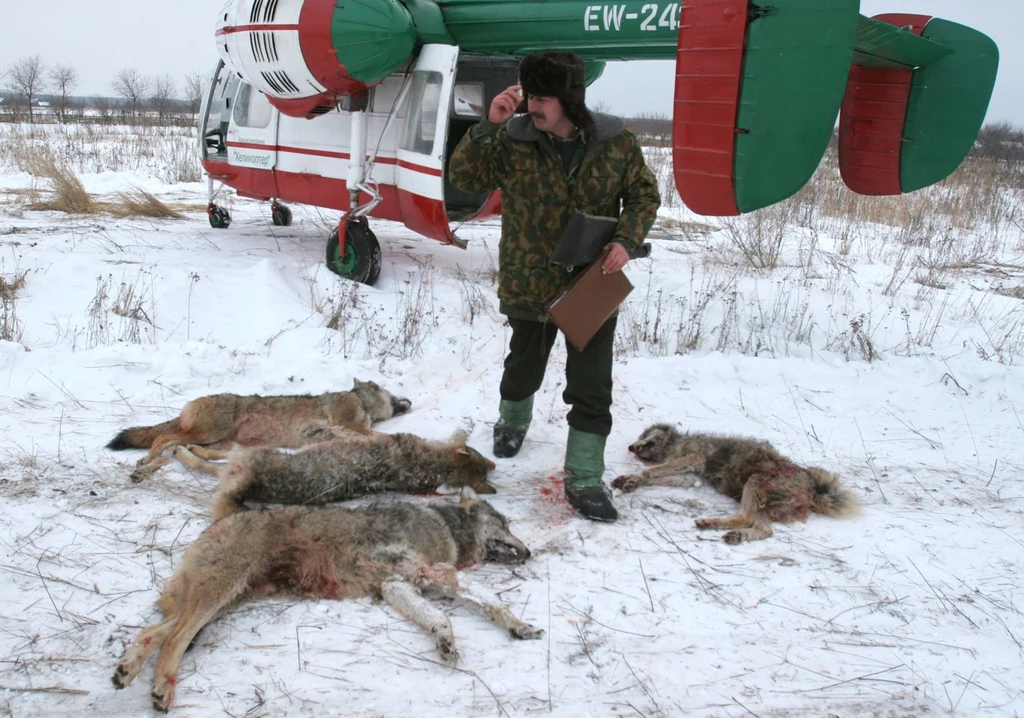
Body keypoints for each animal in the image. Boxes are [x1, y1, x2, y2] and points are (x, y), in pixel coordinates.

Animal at [103, 374, 407, 481]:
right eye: (390, 392)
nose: (408, 401)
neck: (360, 400)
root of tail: (189, 404)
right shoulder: (346, 421)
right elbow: (374, 433)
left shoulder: (321, 435)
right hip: (207, 433)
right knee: (163, 439)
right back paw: (146, 462)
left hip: (215, 441)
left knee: (180, 451)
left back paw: (144, 469)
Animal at [110, 493, 544, 712]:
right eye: (506, 525)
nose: (530, 552)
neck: (448, 529)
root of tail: (217, 523)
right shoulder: (428, 571)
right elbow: (485, 603)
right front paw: (516, 625)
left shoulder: (397, 585)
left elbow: (438, 618)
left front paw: (448, 641)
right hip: (218, 595)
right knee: (173, 637)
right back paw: (161, 690)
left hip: (224, 601)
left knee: (154, 630)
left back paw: (127, 670)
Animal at [175, 428, 499, 518]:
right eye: (481, 461)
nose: (493, 464)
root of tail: (255, 486)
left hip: (252, 455)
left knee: (211, 461)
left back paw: (185, 450)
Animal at [610, 421, 860, 540]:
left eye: (645, 437)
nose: (631, 447)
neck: (673, 445)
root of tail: (813, 492)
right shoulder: (689, 477)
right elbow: (655, 477)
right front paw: (629, 480)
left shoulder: (692, 458)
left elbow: (650, 473)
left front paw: (634, 478)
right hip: (766, 504)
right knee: (765, 530)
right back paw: (735, 534)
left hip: (755, 482)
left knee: (746, 517)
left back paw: (714, 524)